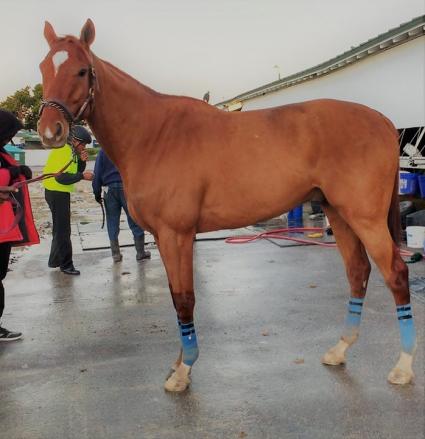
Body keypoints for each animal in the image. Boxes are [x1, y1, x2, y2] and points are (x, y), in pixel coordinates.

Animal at [36, 19, 414, 392]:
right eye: (43, 68)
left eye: (81, 70)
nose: (50, 130)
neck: (154, 134)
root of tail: (382, 121)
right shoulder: (164, 236)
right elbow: (176, 297)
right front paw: (179, 365)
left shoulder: (176, 234)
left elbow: (184, 298)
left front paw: (184, 371)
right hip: (338, 213)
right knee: (358, 272)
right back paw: (339, 349)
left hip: (365, 218)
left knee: (395, 273)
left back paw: (403, 367)